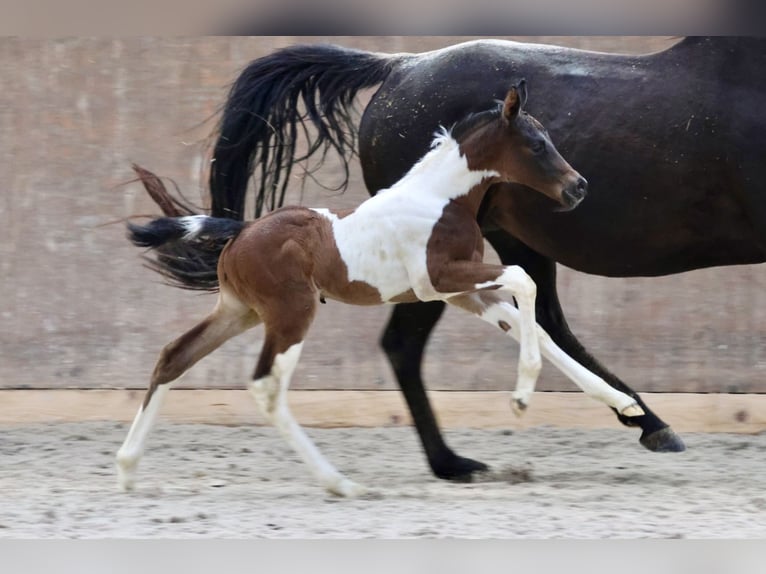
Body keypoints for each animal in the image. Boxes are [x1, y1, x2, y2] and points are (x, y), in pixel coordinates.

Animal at [117, 83, 644, 498]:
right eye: (536, 144)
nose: (578, 188)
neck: (440, 200)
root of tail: (242, 230)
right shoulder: (440, 280)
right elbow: (523, 277)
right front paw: (520, 399)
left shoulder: (462, 293)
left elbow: (532, 325)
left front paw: (626, 405)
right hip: (291, 314)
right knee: (266, 385)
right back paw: (340, 483)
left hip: (239, 310)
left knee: (174, 356)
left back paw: (126, 469)